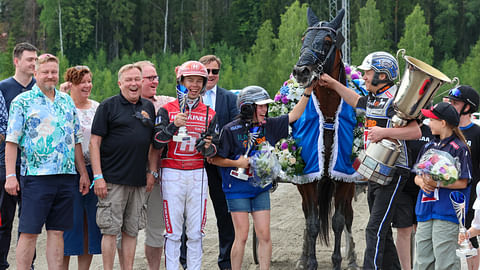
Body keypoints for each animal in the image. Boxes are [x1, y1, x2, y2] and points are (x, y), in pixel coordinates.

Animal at [290, 7, 362, 268]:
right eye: (304, 38)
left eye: (328, 40)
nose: (301, 71)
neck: (329, 115)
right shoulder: (308, 175)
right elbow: (311, 222)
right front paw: (309, 260)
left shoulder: (343, 176)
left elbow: (339, 220)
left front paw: (338, 260)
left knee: (348, 216)